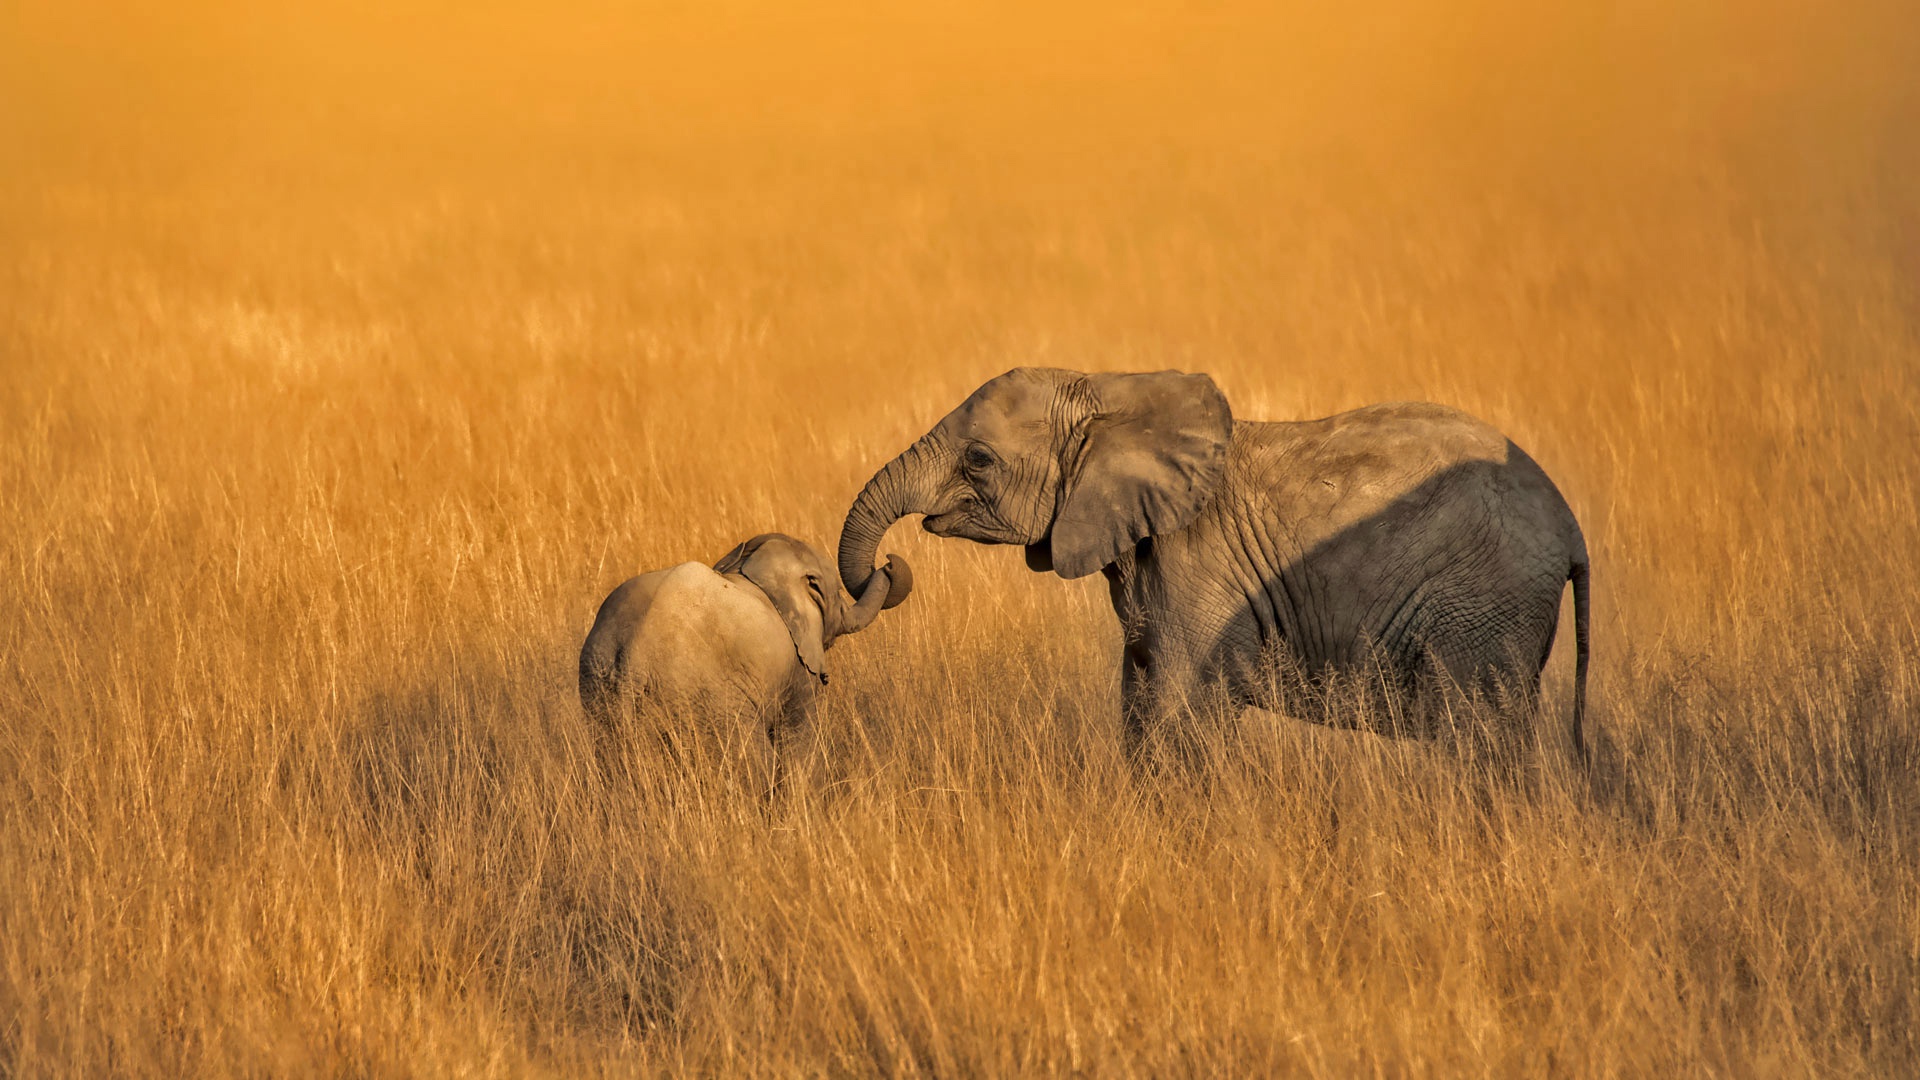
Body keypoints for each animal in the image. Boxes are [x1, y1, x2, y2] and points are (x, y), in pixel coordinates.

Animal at [576, 530, 913, 776]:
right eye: (837, 594)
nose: (888, 562)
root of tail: (634, 656)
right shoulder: (799, 669)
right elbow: (799, 741)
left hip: (599, 684)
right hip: (708, 701)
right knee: (756, 763)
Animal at [840, 368, 1589, 757]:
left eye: (979, 460)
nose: (890, 568)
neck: (1109, 394)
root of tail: (1570, 525)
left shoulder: (1198, 566)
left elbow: (1177, 708)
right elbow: (1140, 697)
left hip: (1483, 604)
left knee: (1474, 739)